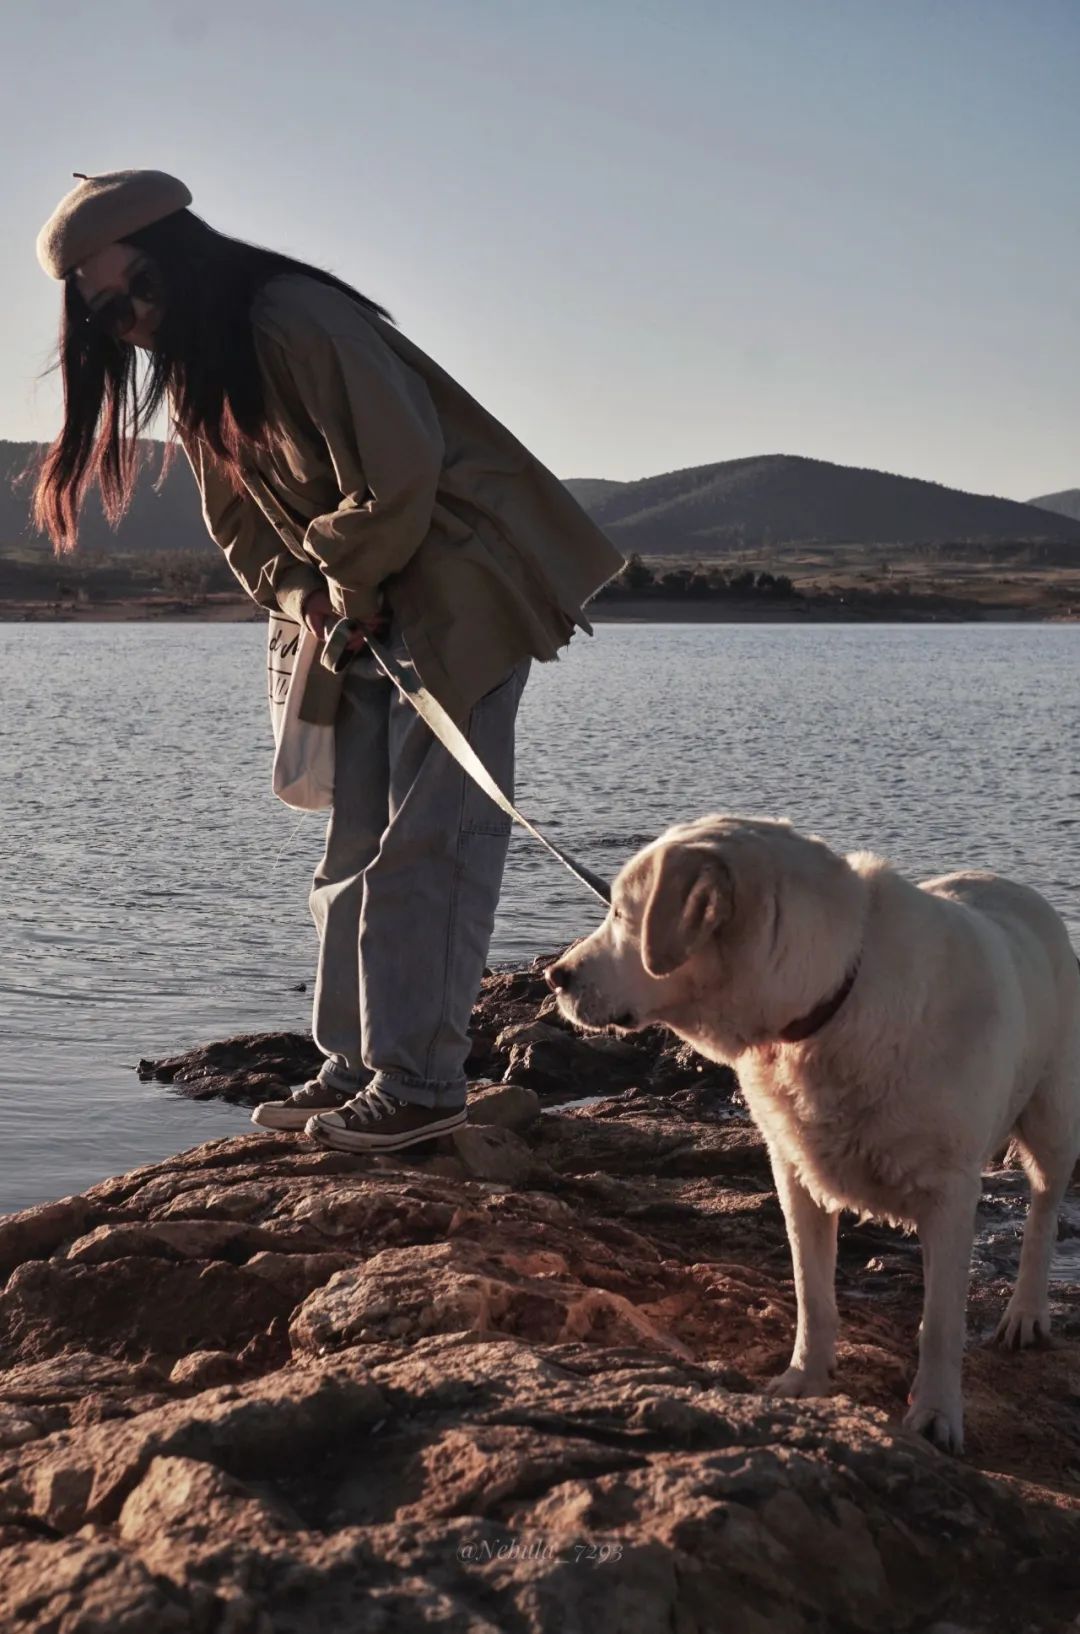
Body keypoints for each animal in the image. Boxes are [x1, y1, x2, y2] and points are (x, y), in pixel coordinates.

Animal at [548, 823, 1078, 1450]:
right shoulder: (795, 1170)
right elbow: (811, 1291)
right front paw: (805, 1380)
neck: (835, 995)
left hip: (1053, 1121)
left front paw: (936, 1413)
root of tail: (1019, 890)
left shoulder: (950, 1194)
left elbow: (942, 1324)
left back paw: (1026, 1312)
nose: (556, 976)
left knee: (1043, 1213)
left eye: (623, 914)